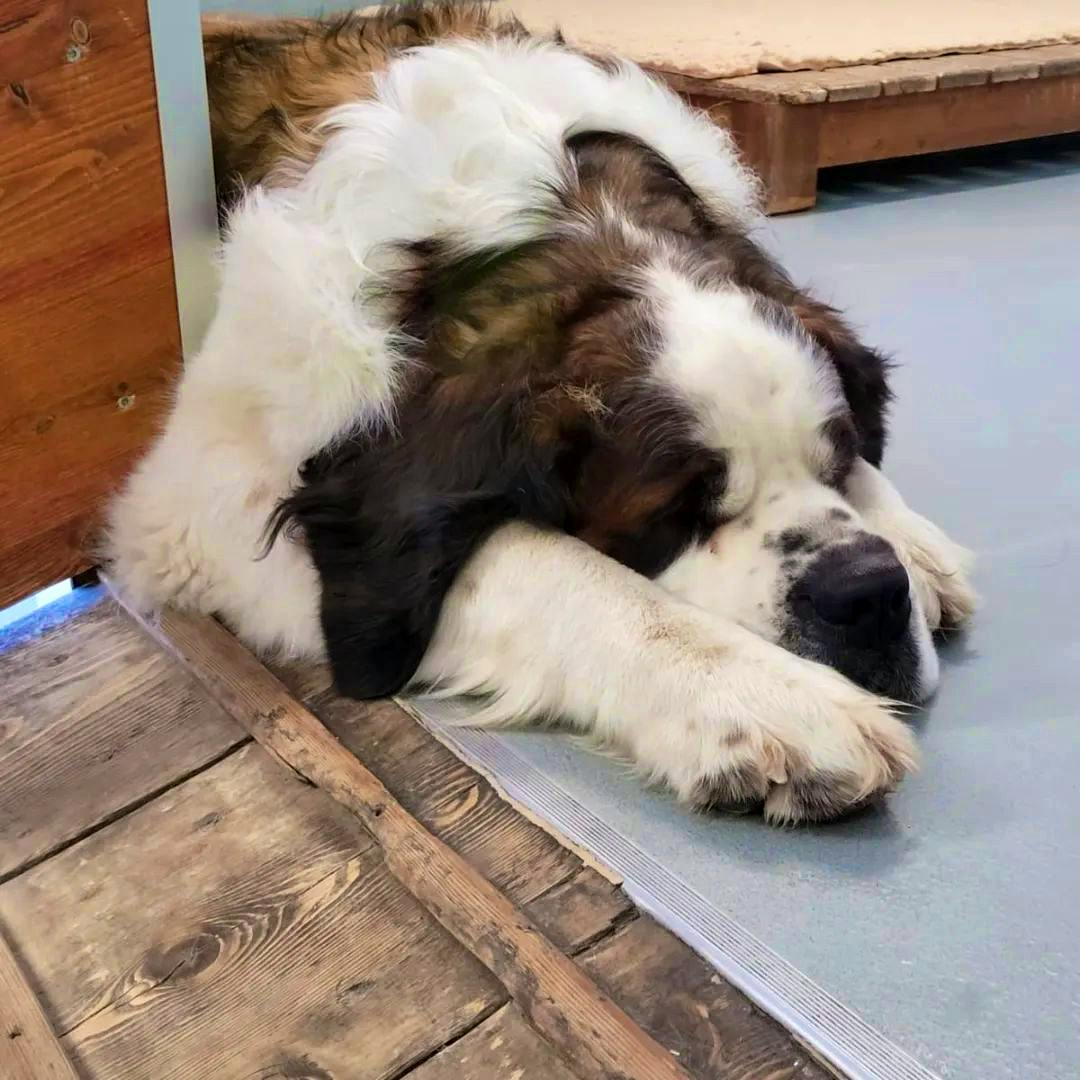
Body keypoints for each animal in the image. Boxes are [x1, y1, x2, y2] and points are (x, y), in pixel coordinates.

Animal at [105, 4, 976, 820]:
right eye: (672, 515)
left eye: (841, 455)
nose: (865, 595)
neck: (568, 217)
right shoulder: (204, 499)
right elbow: (545, 562)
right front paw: (762, 695)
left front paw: (911, 541)